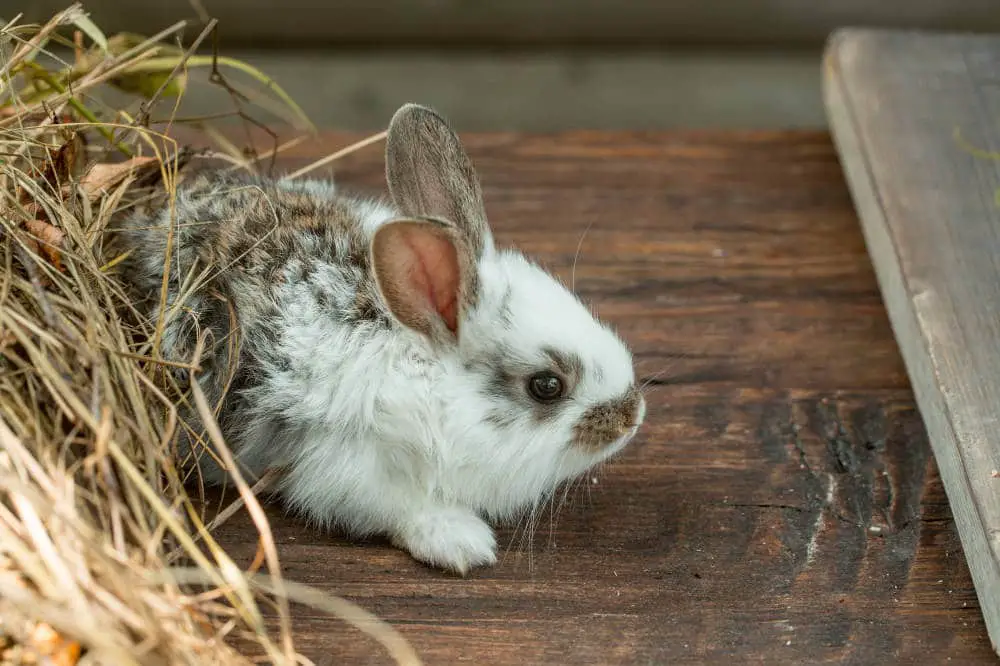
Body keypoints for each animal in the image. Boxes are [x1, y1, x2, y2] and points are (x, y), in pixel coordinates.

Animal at [117, 102, 648, 572]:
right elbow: (405, 510)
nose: (632, 415)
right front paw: (462, 543)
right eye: (546, 386)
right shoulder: (348, 468)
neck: (429, 378)